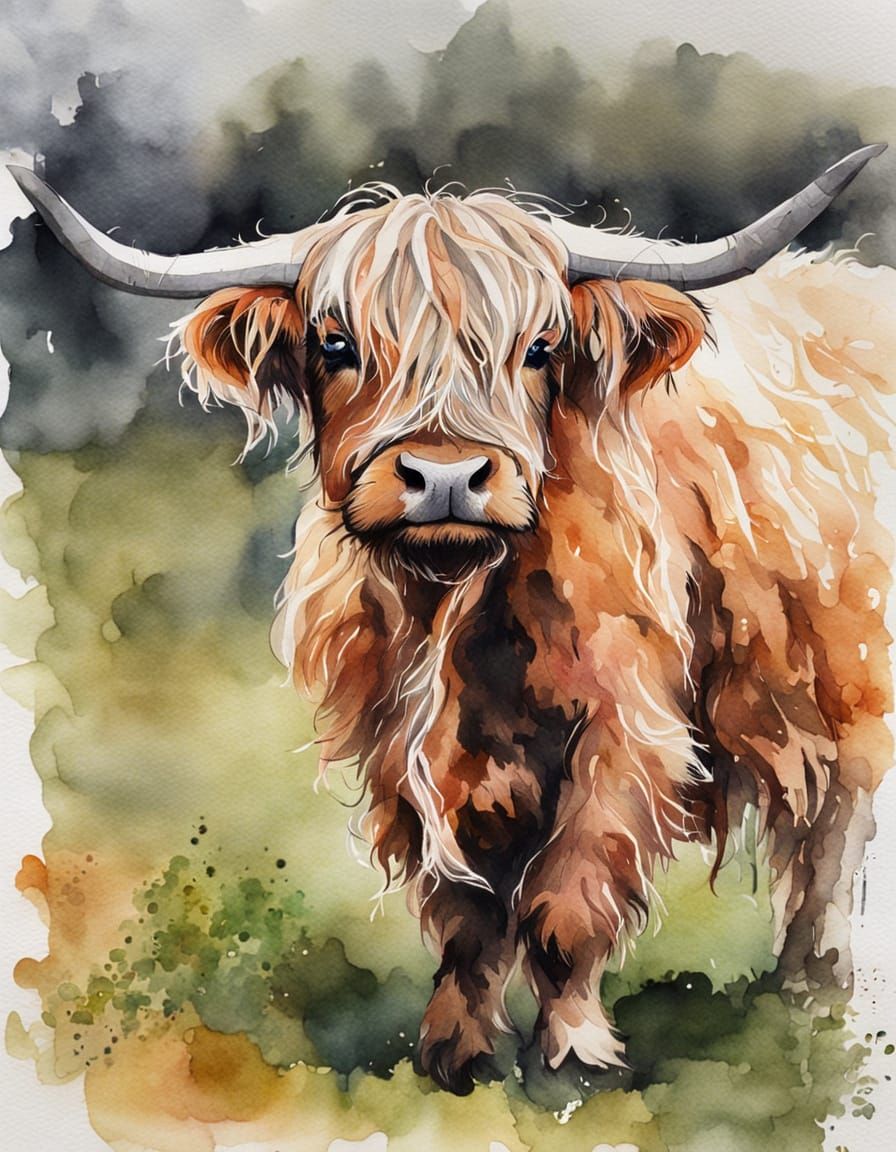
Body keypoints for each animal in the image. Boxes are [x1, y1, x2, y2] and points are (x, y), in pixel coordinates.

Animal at [10, 143, 893, 1095]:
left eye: (540, 348)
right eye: (337, 344)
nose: (443, 476)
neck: (458, 609)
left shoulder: (626, 727)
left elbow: (566, 901)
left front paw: (572, 1056)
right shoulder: (406, 740)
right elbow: (468, 915)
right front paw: (455, 1055)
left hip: (845, 693)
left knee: (833, 836)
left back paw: (815, 994)